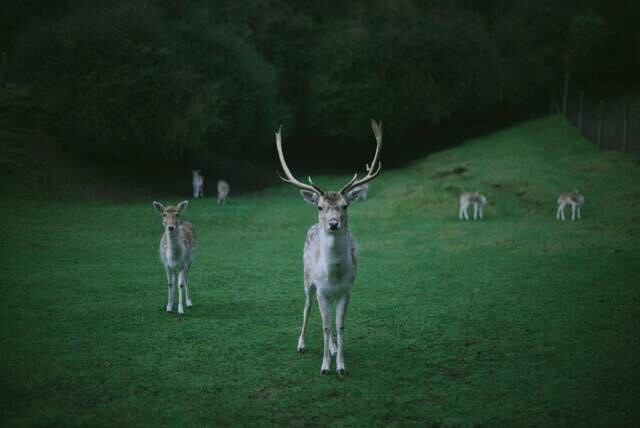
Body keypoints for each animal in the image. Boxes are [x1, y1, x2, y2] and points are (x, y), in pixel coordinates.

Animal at [274, 118, 382, 376]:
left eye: (345, 205)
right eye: (320, 207)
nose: (333, 223)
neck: (333, 275)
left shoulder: (346, 290)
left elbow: (339, 325)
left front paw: (340, 365)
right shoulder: (322, 290)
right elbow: (324, 325)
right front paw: (324, 366)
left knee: (330, 318)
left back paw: (332, 348)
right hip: (307, 279)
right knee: (307, 307)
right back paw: (302, 344)